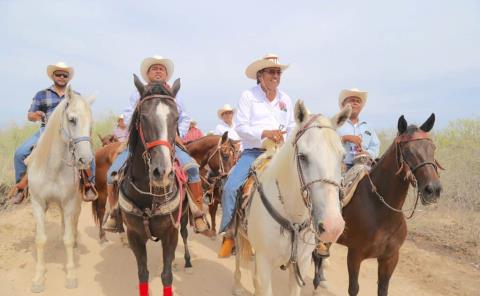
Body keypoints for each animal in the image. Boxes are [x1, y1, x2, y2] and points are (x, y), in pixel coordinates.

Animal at [26, 86, 94, 294]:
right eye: (72, 119)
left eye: (91, 122)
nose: (85, 160)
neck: (52, 167)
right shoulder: (37, 203)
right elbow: (40, 239)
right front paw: (38, 278)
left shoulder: (70, 202)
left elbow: (68, 239)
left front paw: (70, 275)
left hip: (76, 202)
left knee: (73, 223)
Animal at [233, 100, 350, 294]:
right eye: (302, 156)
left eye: (343, 156)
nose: (333, 227)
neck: (292, 219)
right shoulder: (264, 263)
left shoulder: (301, 264)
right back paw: (237, 286)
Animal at [314, 113, 444, 296]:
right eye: (407, 151)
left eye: (432, 148)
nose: (433, 189)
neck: (381, 210)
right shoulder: (355, 255)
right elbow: (353, 288)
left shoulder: (390, 258)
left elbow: (383, 289)